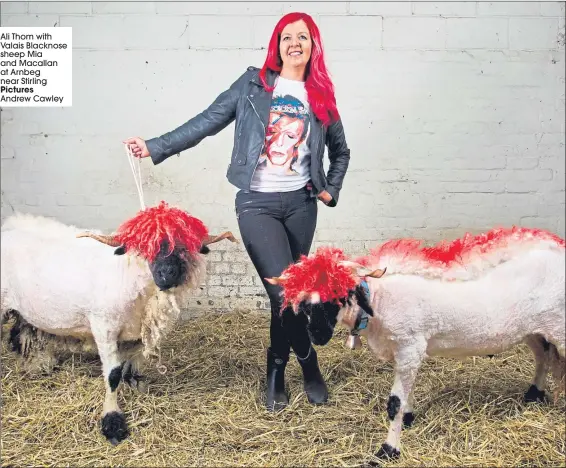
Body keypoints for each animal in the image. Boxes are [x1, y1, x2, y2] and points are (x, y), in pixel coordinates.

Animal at [0, 203, 237, 444]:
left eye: (183, 247)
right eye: (145, 248)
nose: (167, 274)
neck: (129, 275)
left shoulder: (137, 331)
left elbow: (132, 361)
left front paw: (135, 382)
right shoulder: (104, 327)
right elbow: (113, 374)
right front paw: (112, 422)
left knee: (19, 332)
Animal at [268, 228, 566, 464]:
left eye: (340, 295)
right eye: (305, 304)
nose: (317, 335)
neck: (380, 300)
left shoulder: (410, 346)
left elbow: (394, 403)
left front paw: (387, 450)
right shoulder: (404, 351)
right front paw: (408, 419)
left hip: (559, 328)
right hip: (532, 328)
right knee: (543, 356)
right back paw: (534, 393)